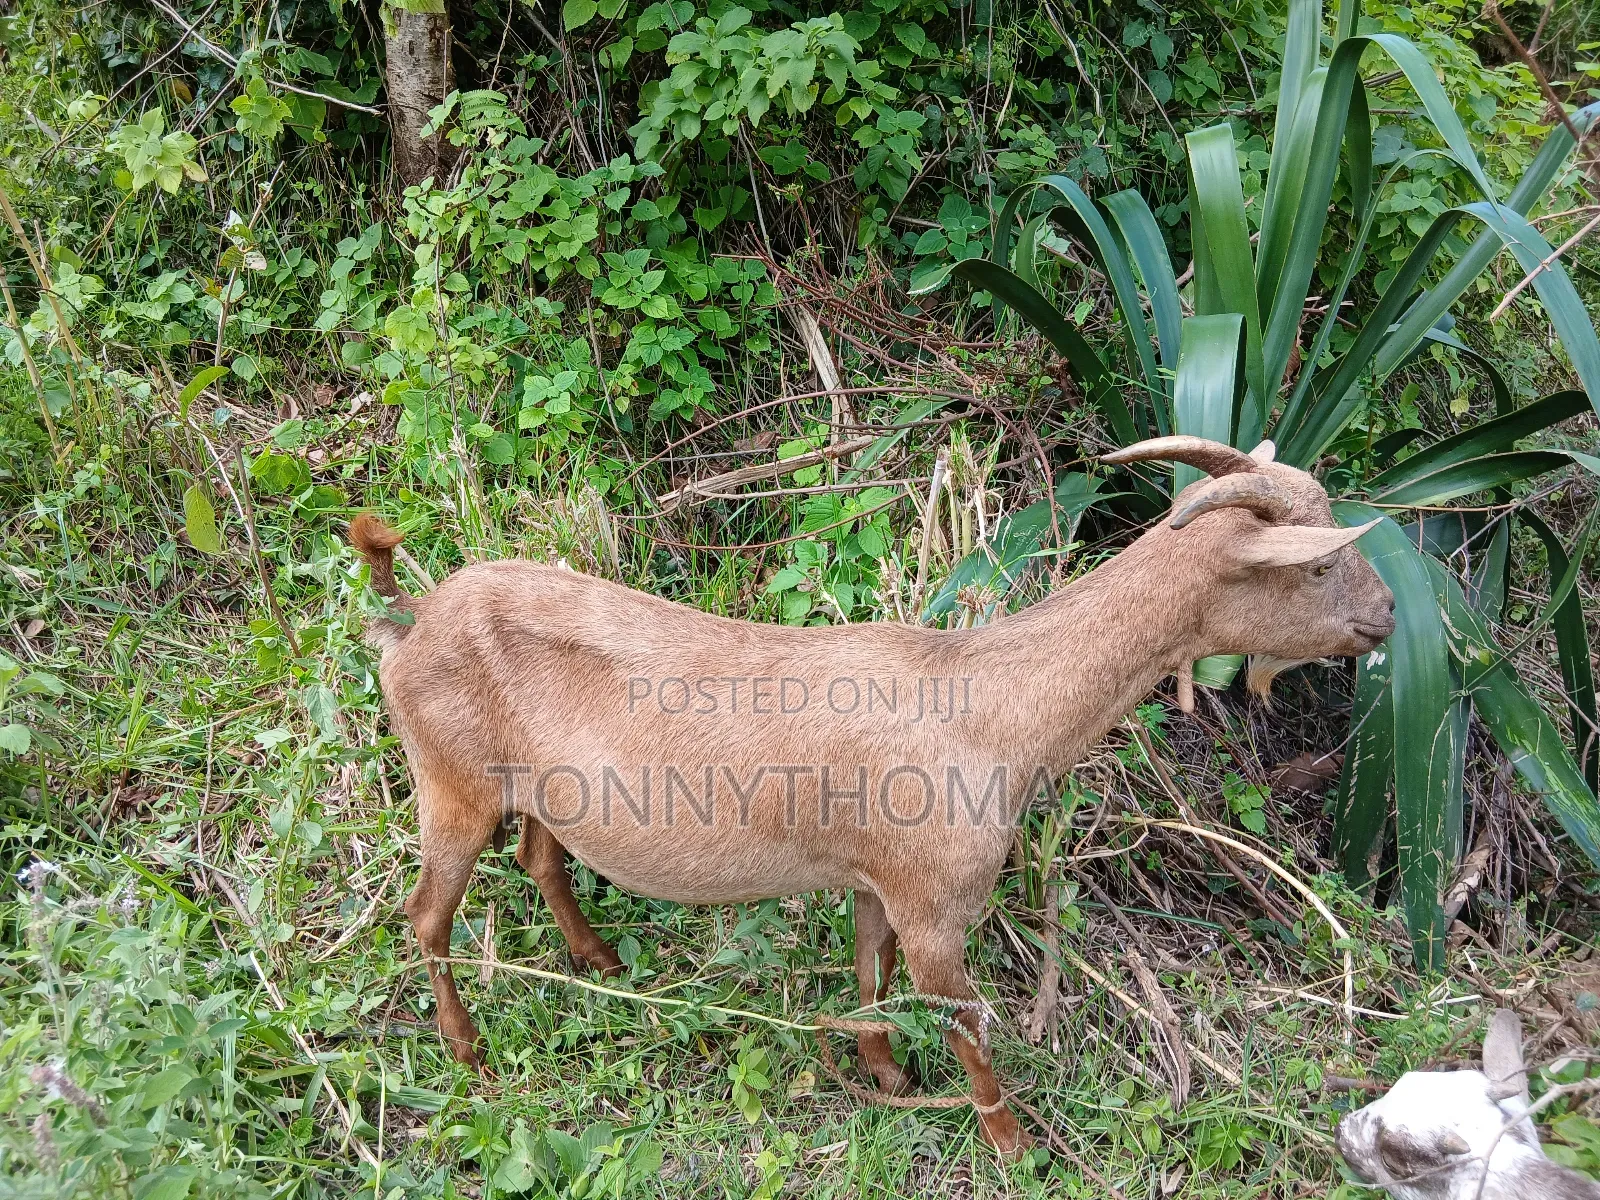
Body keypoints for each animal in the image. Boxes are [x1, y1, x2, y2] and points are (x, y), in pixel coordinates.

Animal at [351, 435, 1395, 1155]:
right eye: (1314, 563)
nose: (1388, 612)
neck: (989, 705)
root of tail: (406, 620)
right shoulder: (938, 903)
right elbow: (967, 1026)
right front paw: (1011, 1143)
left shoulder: (875, 881)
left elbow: (869, 975)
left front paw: (886, 1076)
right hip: (450, 784)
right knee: (426, 916)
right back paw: (469, 1053)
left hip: (535, 793)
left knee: (538, 857)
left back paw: (600, 960)